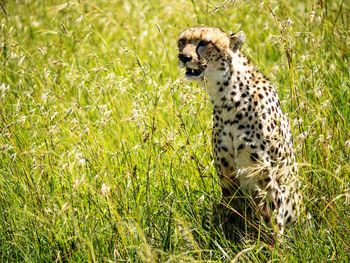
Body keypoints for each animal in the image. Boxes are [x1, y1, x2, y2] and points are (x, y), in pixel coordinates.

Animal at [178, 26, 300, 241]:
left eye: (204, 43)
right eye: (182, 41)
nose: (183, 57)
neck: (227, 96)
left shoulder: (262, 173)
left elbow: (272, 215)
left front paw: (275, 246)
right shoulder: (227, 173)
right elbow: (233, 212)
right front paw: (229, 240)